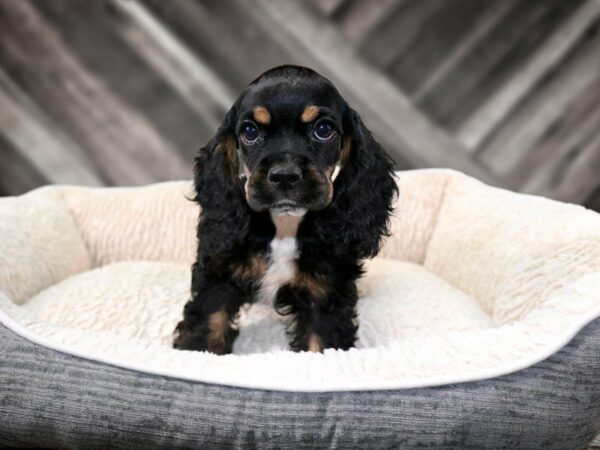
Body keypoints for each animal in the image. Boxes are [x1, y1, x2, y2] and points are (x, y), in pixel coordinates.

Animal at [173, 65, 398, 354]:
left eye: (323, 129)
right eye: (250, 131)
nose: (284, 176)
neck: (284, 228)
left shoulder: (325, 296)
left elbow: (320, 343)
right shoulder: (218, 277)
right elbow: (208, 325)